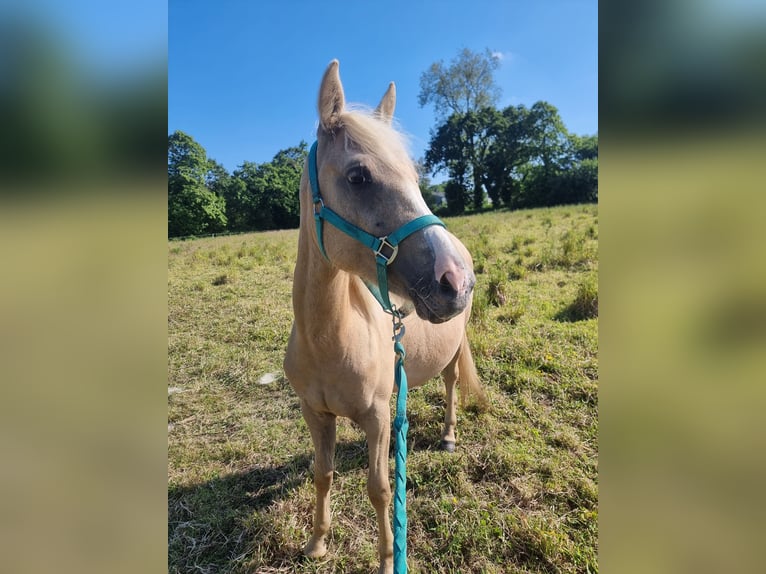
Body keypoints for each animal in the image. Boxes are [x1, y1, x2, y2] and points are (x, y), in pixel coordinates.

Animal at [282, 62, 486, 574]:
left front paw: (388, 557)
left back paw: (449, 436)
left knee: (452, 384)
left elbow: (379, 489)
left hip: (453, 351)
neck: (329, 337)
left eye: (414, 176)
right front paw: (317, 543)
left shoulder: (375, 416)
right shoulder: (315, 413)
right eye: (358, 176)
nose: (455, 280)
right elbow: (323, 473)